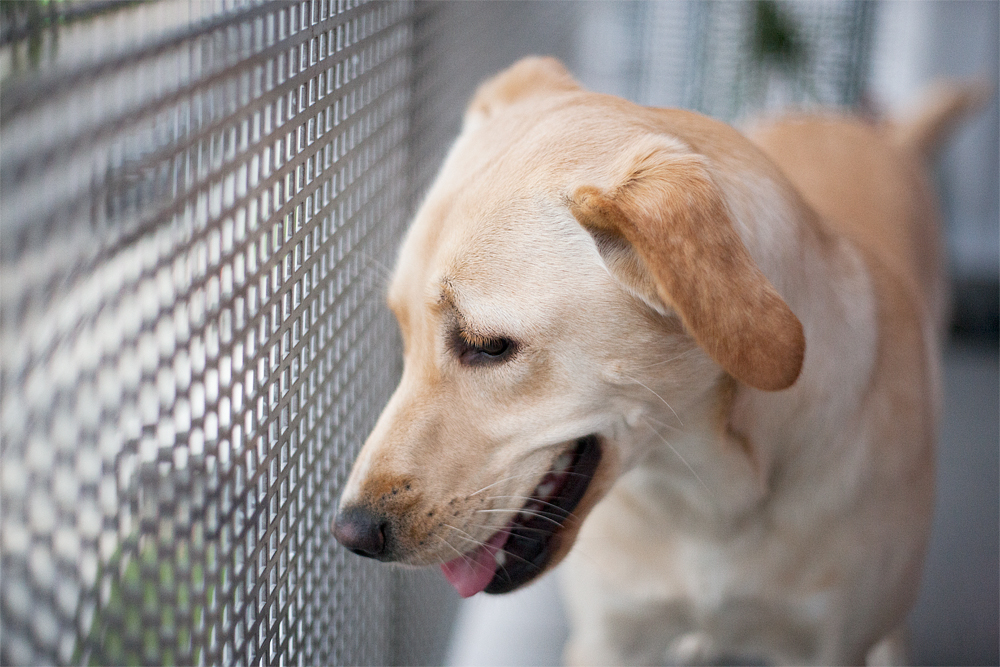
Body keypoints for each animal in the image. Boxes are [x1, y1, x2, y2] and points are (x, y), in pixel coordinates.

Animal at [333, 57, 983, 664]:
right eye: (402, 329)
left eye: (489, 346)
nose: (351, 534)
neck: (707, 500)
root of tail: (866, 126)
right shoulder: (609, 639)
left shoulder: (829, 646)